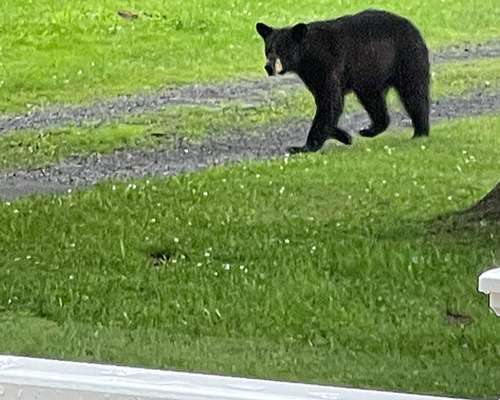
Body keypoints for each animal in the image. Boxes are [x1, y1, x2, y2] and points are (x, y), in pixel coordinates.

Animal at [258, 9, 430, 153]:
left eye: (281, 50)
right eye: (268, 49)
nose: (268, 67)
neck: (306, 56)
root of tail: (413, 26)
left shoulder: (327, 66)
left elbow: (329, 103)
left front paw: (303, 147)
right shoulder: (312, 75)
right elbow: (327, 105)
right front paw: (344, 136)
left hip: (407, 57)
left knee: (414, 94)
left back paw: (420, 132)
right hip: (369, 77)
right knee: (374, 101)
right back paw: (369, 130)